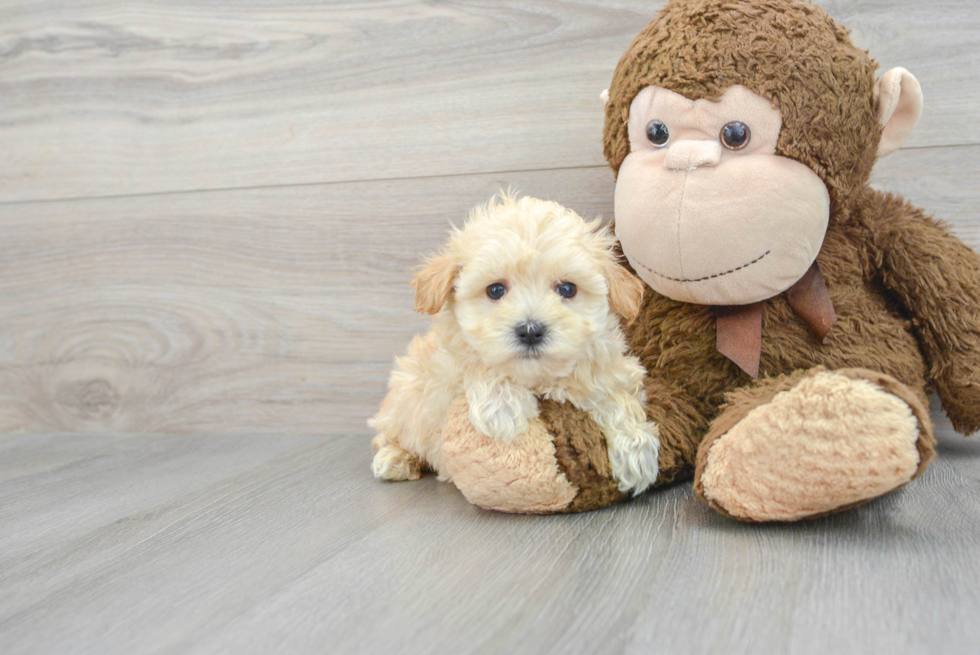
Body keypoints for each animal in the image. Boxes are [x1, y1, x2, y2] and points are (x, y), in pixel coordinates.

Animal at [372, 195, 664, 498]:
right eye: (495, 290)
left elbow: (617, 397)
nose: (530, 331)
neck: (537, 379)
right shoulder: (443, 373)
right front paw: (502, 407)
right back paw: (395, 458)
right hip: (403, 395)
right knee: (391, 433)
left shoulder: (610, 372)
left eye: (567, 289)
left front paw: (635, 450)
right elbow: (474, 364)